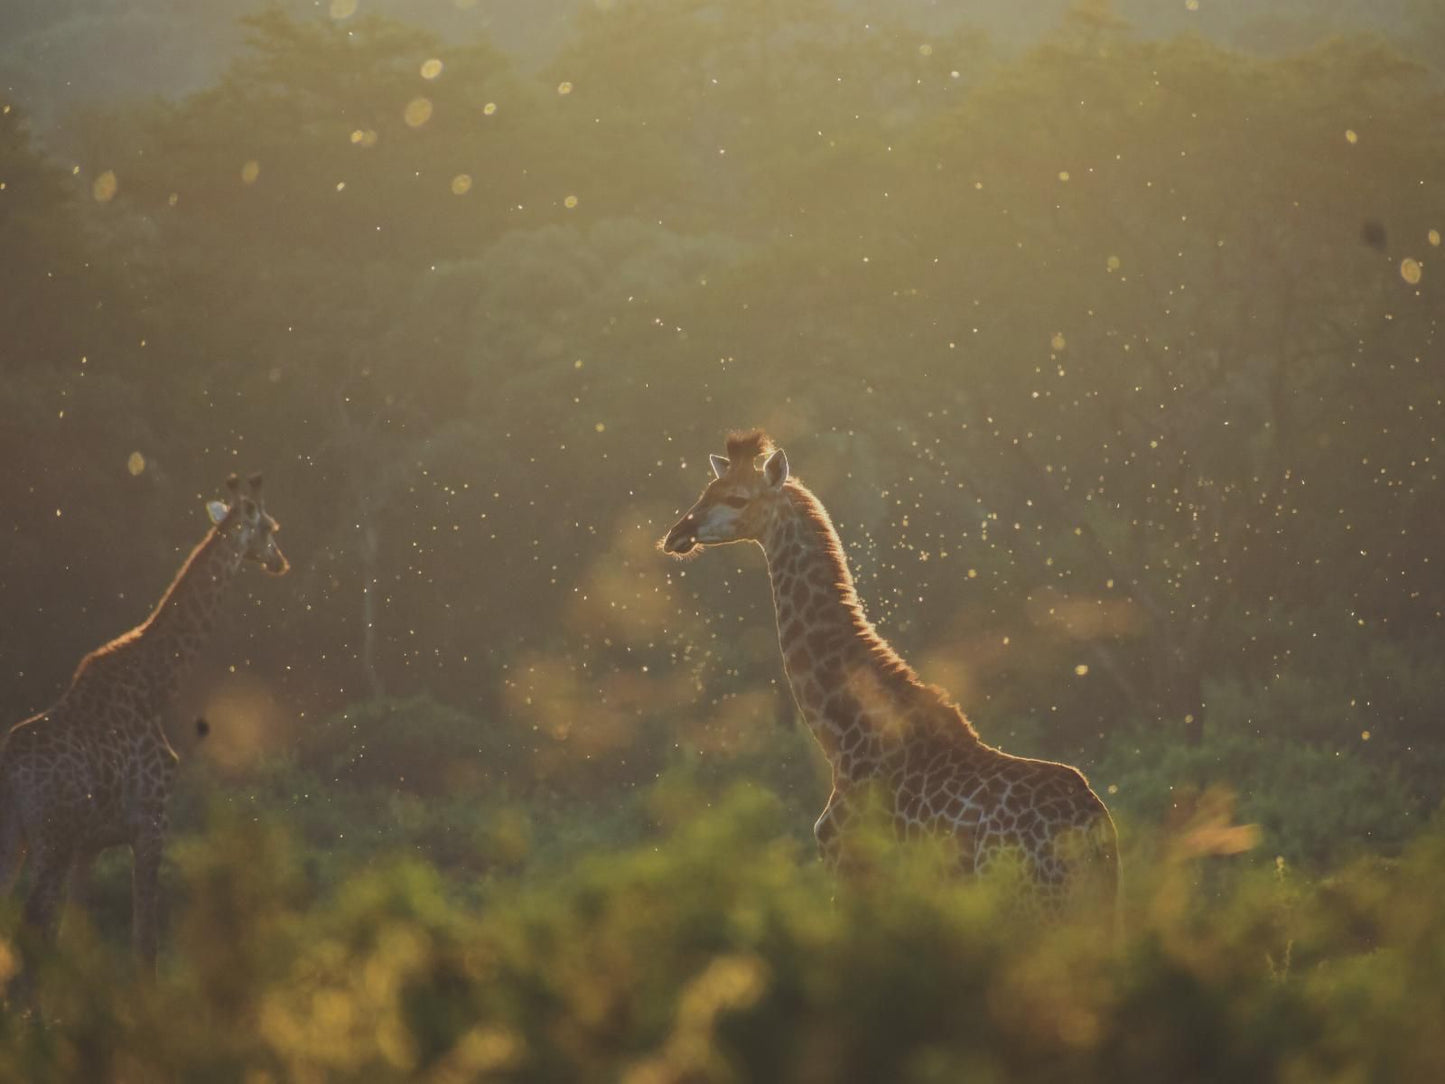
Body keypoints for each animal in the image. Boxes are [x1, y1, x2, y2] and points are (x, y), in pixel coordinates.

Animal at [0, 471, 287, 982]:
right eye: (270, 527)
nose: (281, 561)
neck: (157, 686)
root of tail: (12, 769)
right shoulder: (152, 822)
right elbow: (145, 946)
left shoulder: (92, 845)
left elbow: (76, 938)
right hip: (51, 838)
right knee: (33, 923)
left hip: (13, 833)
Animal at [661, 427, 1121, 913]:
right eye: (706, 490)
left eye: (737, 498)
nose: (677, 533)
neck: (841, 739)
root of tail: (1093, 837)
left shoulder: (850, 867)